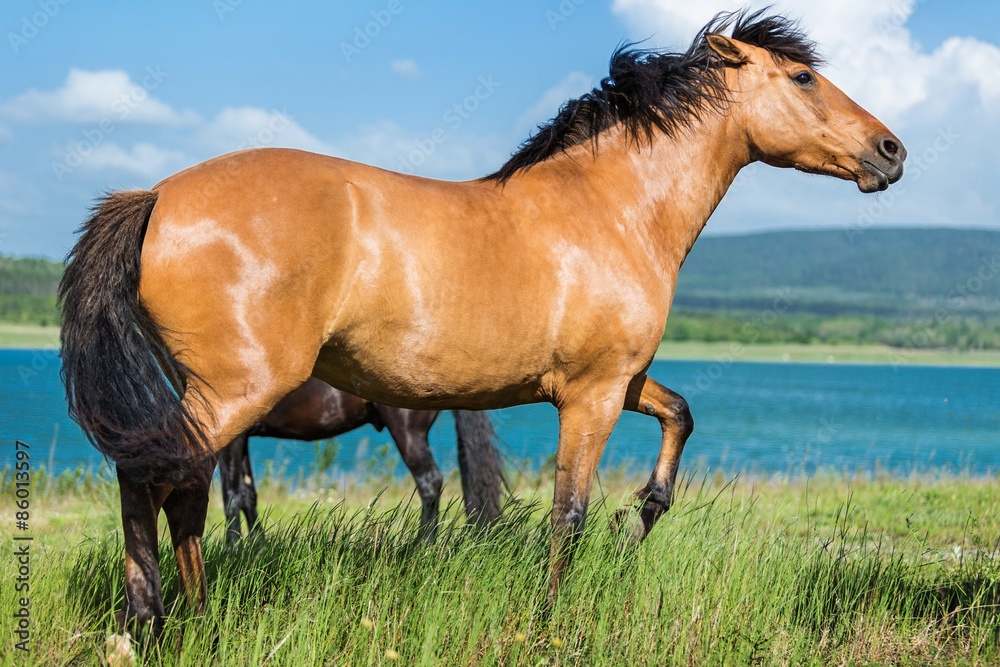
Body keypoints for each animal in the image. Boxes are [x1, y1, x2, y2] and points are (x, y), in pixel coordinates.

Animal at [60, 11, 908, 636]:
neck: (612, 208)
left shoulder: (620, 381)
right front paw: (549, 617)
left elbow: (680, 417)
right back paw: (157, 622)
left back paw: (182, 617)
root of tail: (156, 196)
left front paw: (639, 521)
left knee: (177, 487)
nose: (891, 150)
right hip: (236, 390)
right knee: (157, 481)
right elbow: (568, 514)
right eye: (803, 76)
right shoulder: (592, 396)